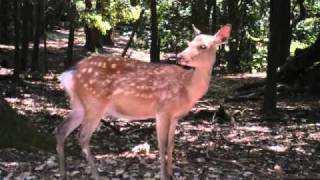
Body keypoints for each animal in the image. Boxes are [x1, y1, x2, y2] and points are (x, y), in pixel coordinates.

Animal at [55, 24, 230, 179]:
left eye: (203, 46)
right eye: (189, 43)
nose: (180, 56)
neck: (187, 89)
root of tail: (69, 74)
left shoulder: (175, 115)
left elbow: (172, 144)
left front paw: (172, 174)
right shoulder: (163, 110)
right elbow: (162, 144)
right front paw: (163, 176)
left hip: (79, 105)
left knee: (61, 130)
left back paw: (63, 174)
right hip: (94, 103)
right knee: (82, 137)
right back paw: (97, 175)